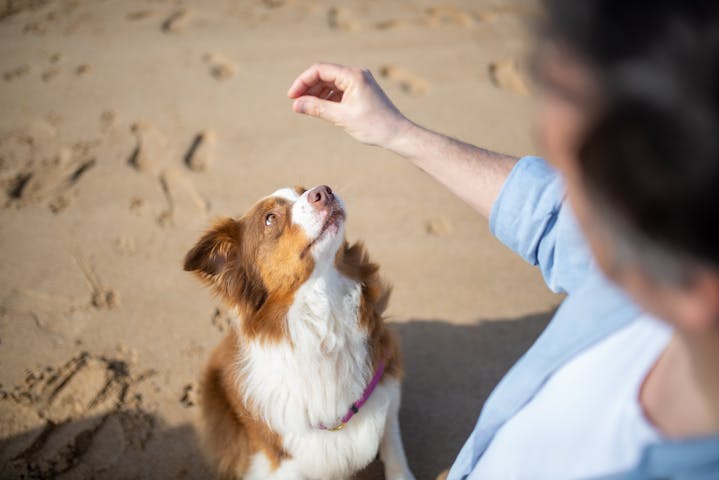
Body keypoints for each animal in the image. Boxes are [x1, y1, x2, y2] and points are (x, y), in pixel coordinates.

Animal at [183, 185, 414, 480]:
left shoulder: (386, 382)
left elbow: (393, 446)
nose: (324, 192)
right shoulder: (283, 461)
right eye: (270, 218)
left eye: (303, 190)